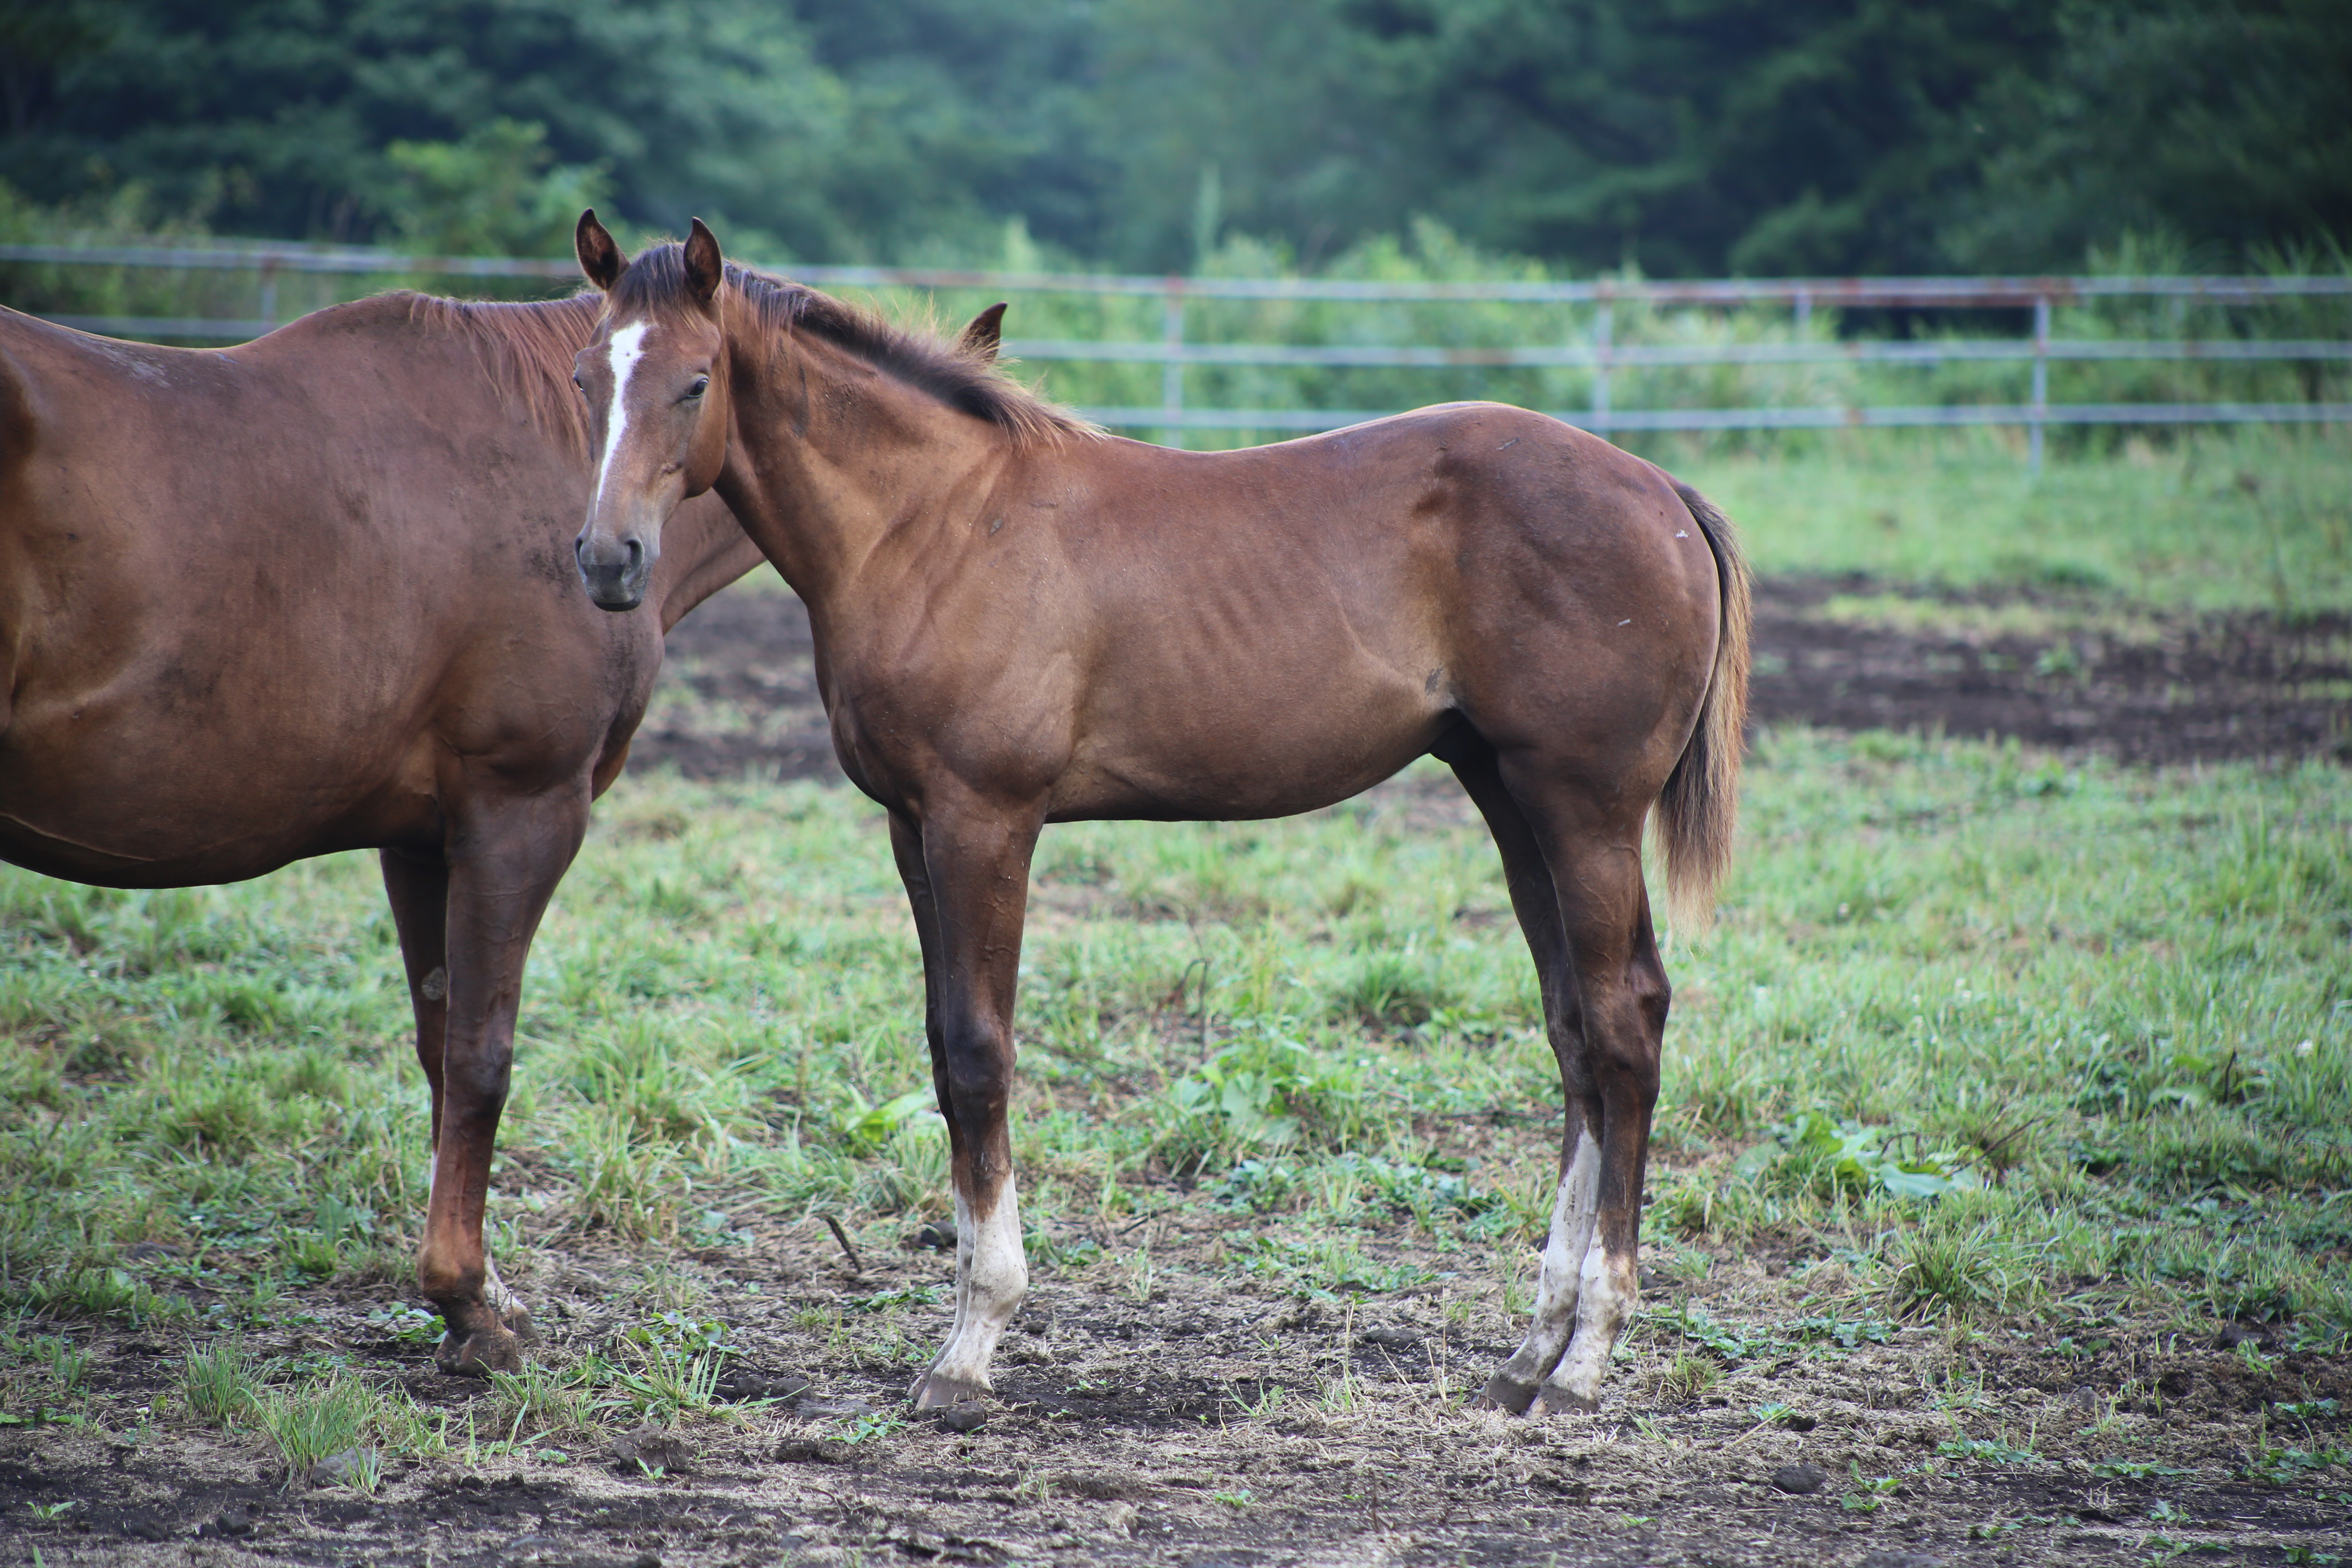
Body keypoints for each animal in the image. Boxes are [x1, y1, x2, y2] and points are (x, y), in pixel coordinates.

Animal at [0, 288, 762, 1363]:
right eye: (591, 385)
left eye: (695, 384)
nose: (607, 560)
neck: (546, 447)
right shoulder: (520, 814)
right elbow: (483, 1057)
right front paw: (468, 1305)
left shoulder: (423, 840)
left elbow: (441, 1046)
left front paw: (479, 1286)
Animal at [569, 215, 1750, 1420]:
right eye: (586, 378)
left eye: (696, 381)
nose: (608, 561)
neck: (934, 525)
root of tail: (1662, 490)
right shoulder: (912, 828)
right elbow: (944, 1059)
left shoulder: (985, 820)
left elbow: (981, 1054)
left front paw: (971, 1345)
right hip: (1512, 800)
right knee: (1573, 1033)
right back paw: (1532, 1349)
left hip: (1584, 810)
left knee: (1621, 1024)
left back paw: (1585, 1358)